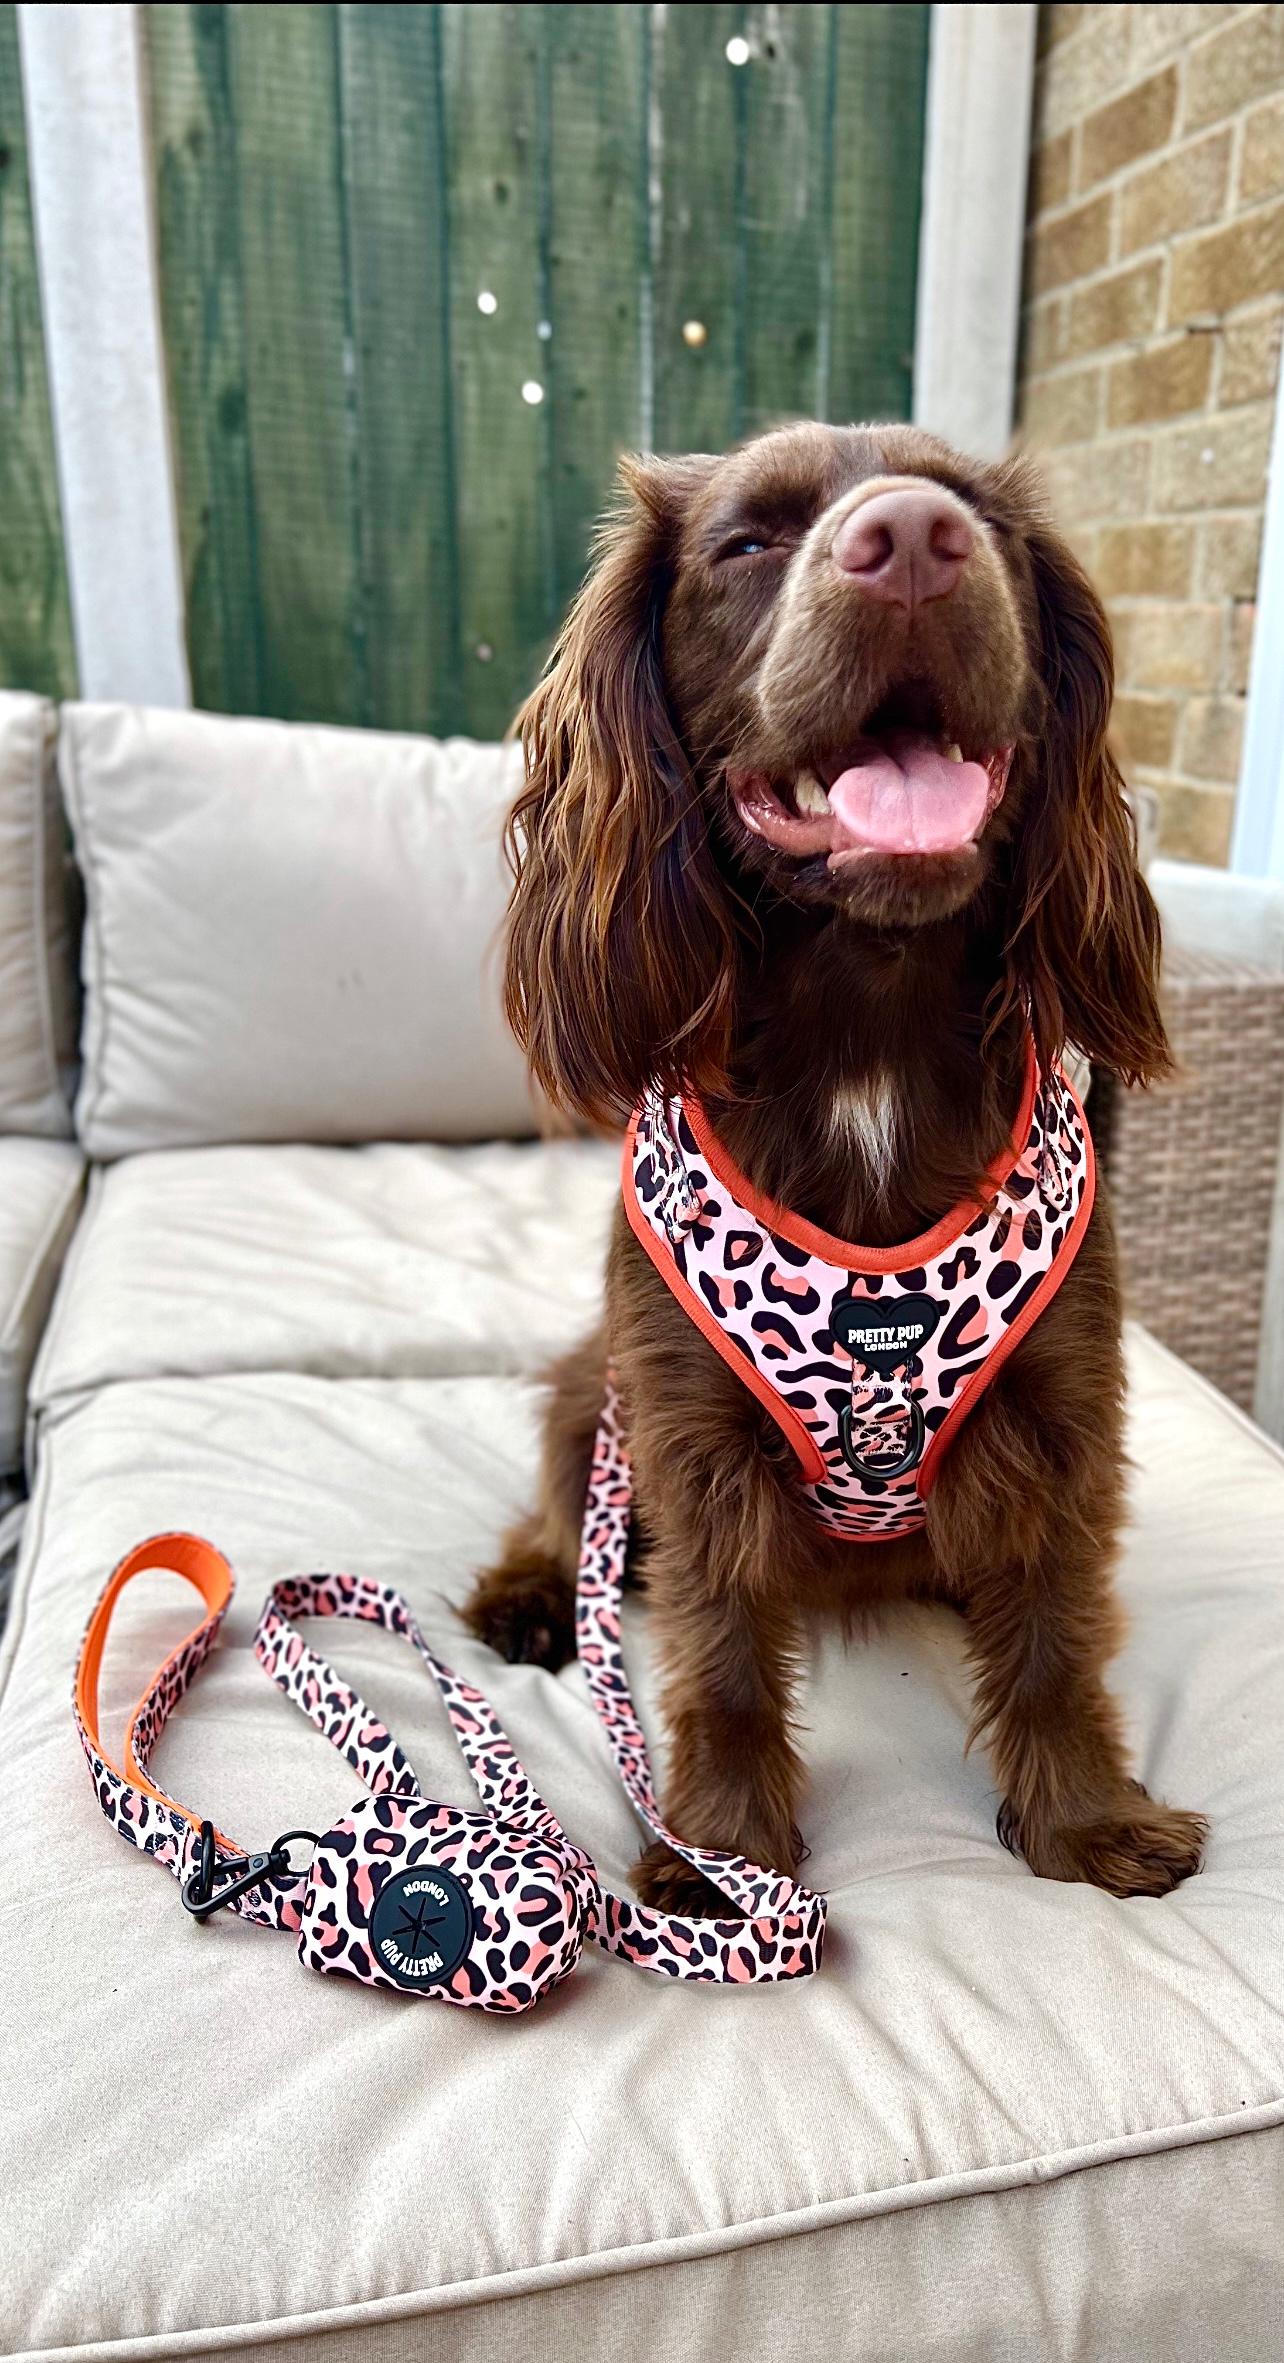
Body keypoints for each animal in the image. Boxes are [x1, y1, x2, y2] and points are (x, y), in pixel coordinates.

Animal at [468, 415, 1210, 1909]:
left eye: (989, 522)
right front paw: (724, 1860)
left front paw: (1089, 1819)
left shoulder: (1062, 1411)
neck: (869, 1018)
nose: (918, 540)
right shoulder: (687, 1430)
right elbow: (725, 1653)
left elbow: (1053, 1636)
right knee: (565, 1505)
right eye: (749, 540)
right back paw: (528, 1596)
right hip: (594, 1384)